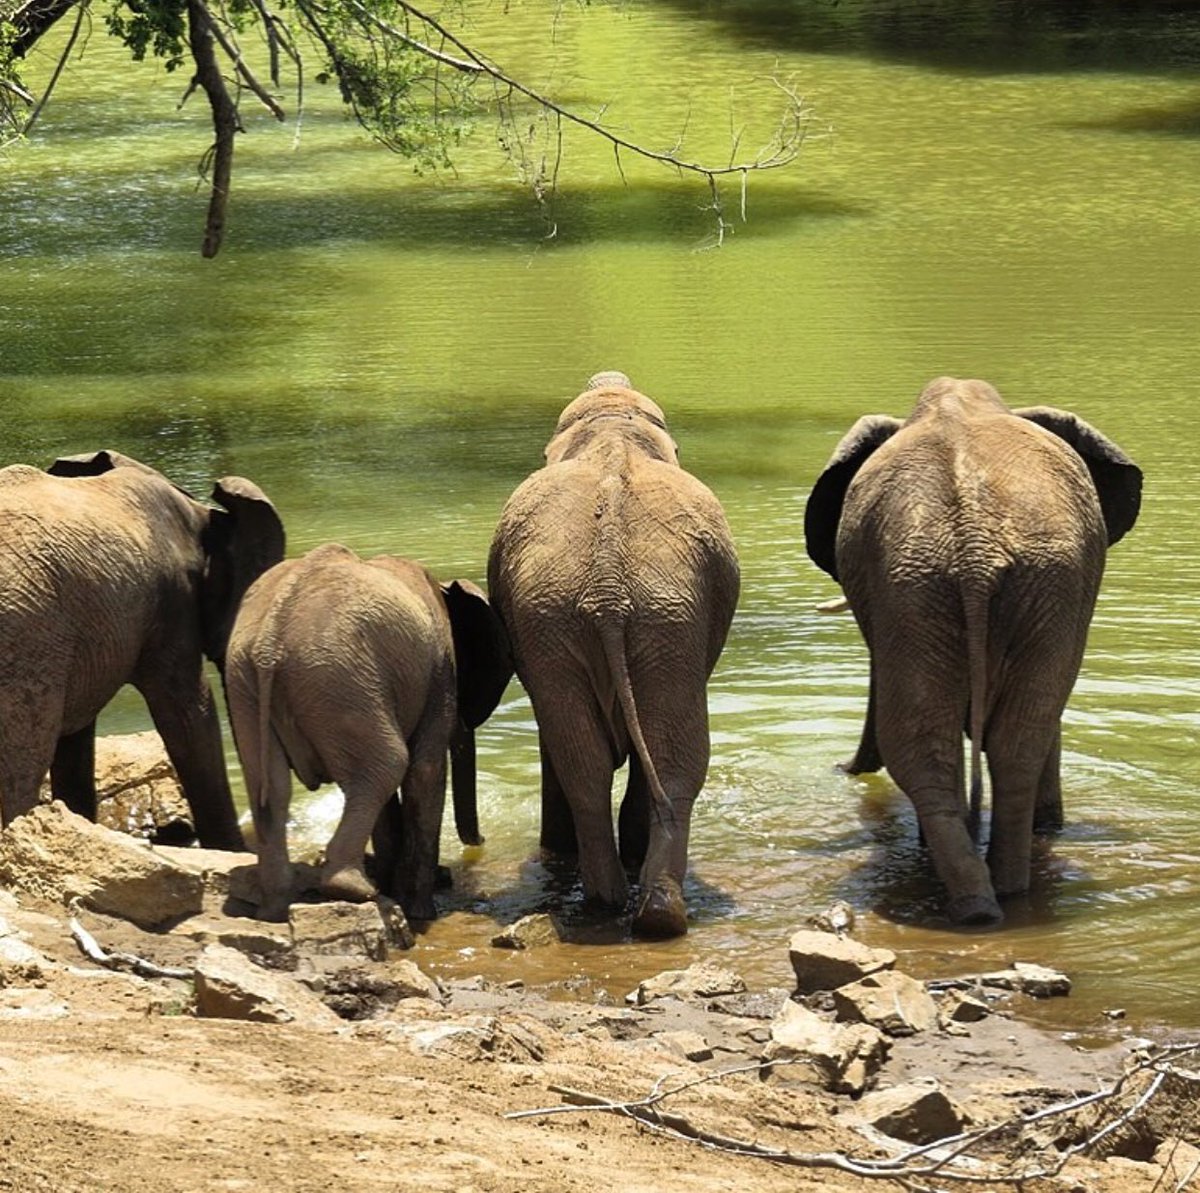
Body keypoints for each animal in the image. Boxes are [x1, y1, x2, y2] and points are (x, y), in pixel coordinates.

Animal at [223, 543, 513, 923]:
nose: (479, 845)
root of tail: (271, 640)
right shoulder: (439, 671)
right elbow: (424, 771)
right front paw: (421, 912)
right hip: (339, 679)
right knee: (389, 765)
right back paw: (355, 890)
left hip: (248, 686)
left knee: (271, 788)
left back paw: (273, 908)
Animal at [487, 371, 740, 939]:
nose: (608, 377)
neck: (611, 432)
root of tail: (609, 586)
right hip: (623, 620)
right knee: (638, 758)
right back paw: (634, 907)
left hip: (645, 620)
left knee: (613, 760)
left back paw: (631, 907)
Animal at [805, 376, 1142, 926]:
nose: (842, 768)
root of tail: (975, 547)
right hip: (942, 586)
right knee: (992, 740)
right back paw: (988, 902)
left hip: (998, 584)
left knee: (991, 742)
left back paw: (991, 897)